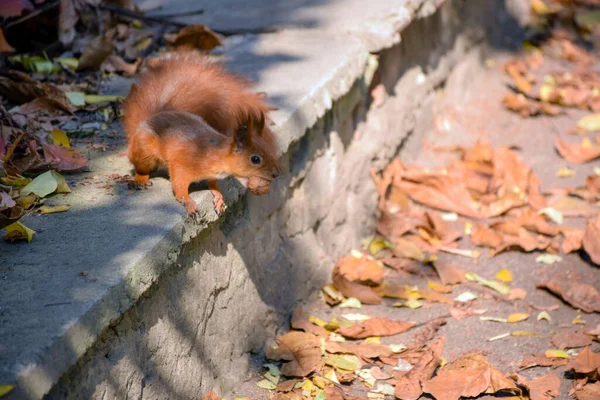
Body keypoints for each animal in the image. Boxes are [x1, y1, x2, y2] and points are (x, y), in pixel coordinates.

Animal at [123, 53, 282, 217]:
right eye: (255, 159)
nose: (276, 174)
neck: (216, 155)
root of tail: (147, 120)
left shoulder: (213, 175)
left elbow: (212, 184)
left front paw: (218, 197)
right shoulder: (182, 164)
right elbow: (179, 185)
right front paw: (187, 201)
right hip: (145, 150)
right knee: (141, 167)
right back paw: (140, 180)